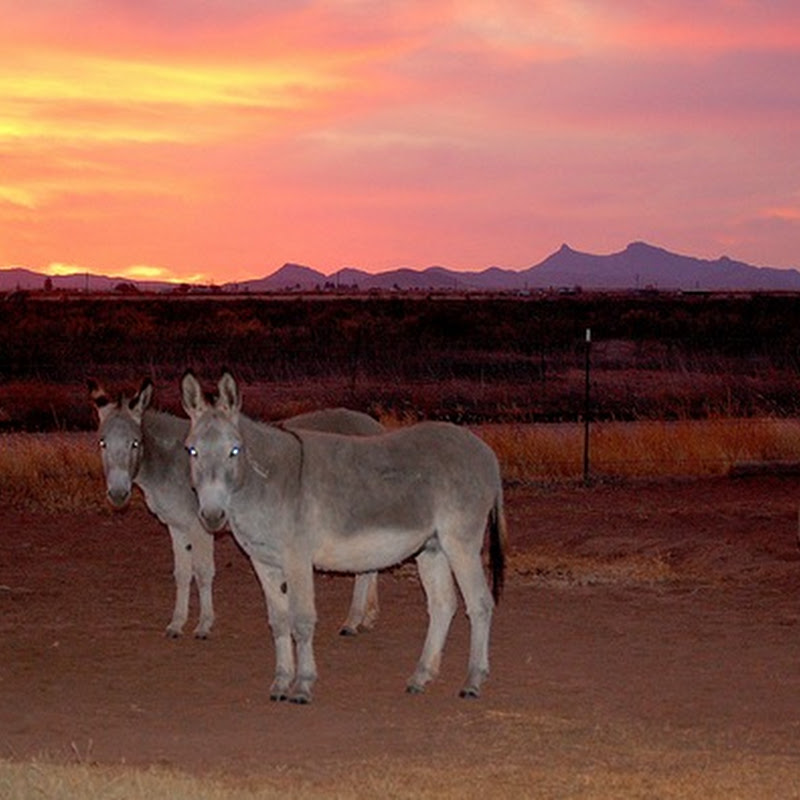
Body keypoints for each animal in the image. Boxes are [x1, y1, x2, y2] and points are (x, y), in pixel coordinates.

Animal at [89, 379, 383, 638]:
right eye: (102, 443)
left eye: (135, 443)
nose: (117, 494)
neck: (168, 461)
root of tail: (374, 426)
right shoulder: (176, 526)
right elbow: (182, 575)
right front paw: (176, 624)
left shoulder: (198, 526)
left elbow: (203, 573)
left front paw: (203, 625)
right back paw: (365, 618)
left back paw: (352, 621)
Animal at [181, 371, 506, 703]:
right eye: (191, 450)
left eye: (234, 450)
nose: (212, 516)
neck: (265, 483)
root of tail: (486, 452)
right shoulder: (263, 562)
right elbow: (279, 622)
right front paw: (281, 682)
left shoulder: (297, 558)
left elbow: (302, 620)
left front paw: (303, 686)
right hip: (433, 548)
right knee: (442, 605)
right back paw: (421, 677)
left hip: (460, 543)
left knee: (480, 604)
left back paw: (472, 681)